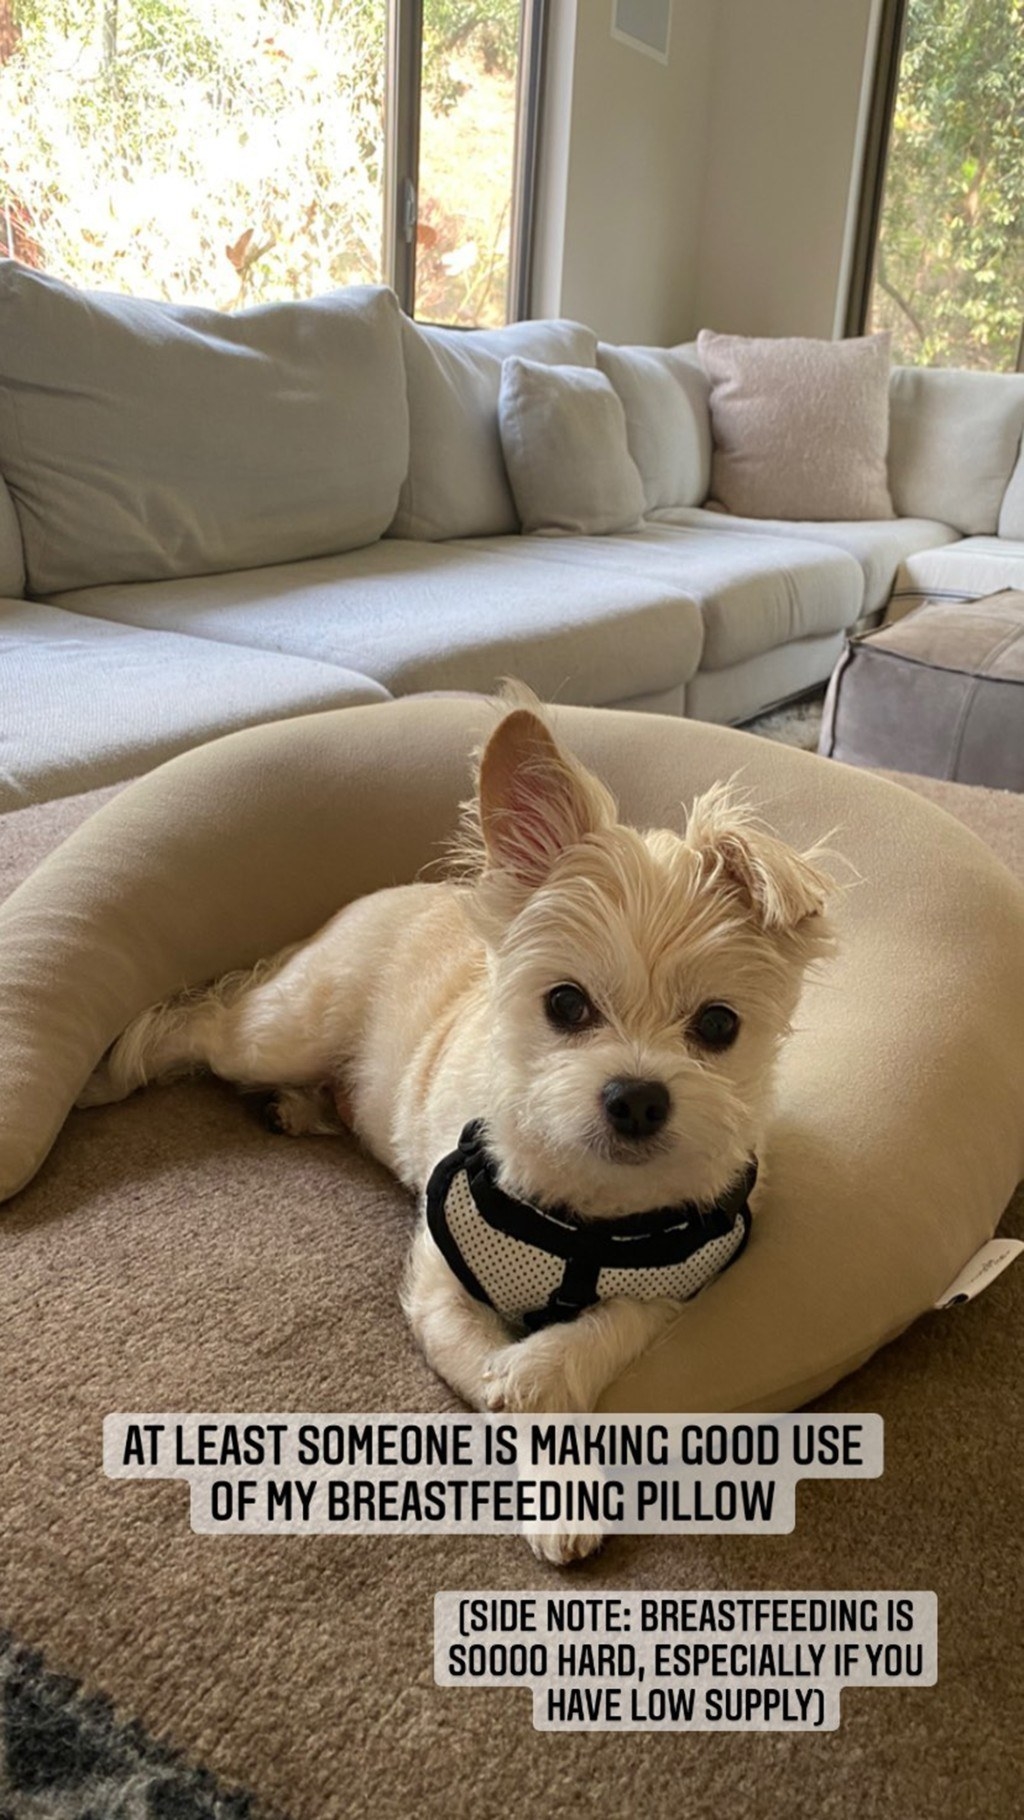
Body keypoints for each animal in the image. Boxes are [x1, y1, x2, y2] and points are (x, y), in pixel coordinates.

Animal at [82, 702, 833, 1557]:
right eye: (566, 1004)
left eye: (717, 1025)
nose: (638, 1098)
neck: (589, 1218)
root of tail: (378, 898)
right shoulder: (441, 1281)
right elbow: (487, 1368)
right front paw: (522, 1402)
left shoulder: (679, 1283)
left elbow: (598, 1333)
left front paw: (545, 1401)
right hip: (281, 1029)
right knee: (200, 1023)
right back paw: (111, 1076)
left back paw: (303, 1108)